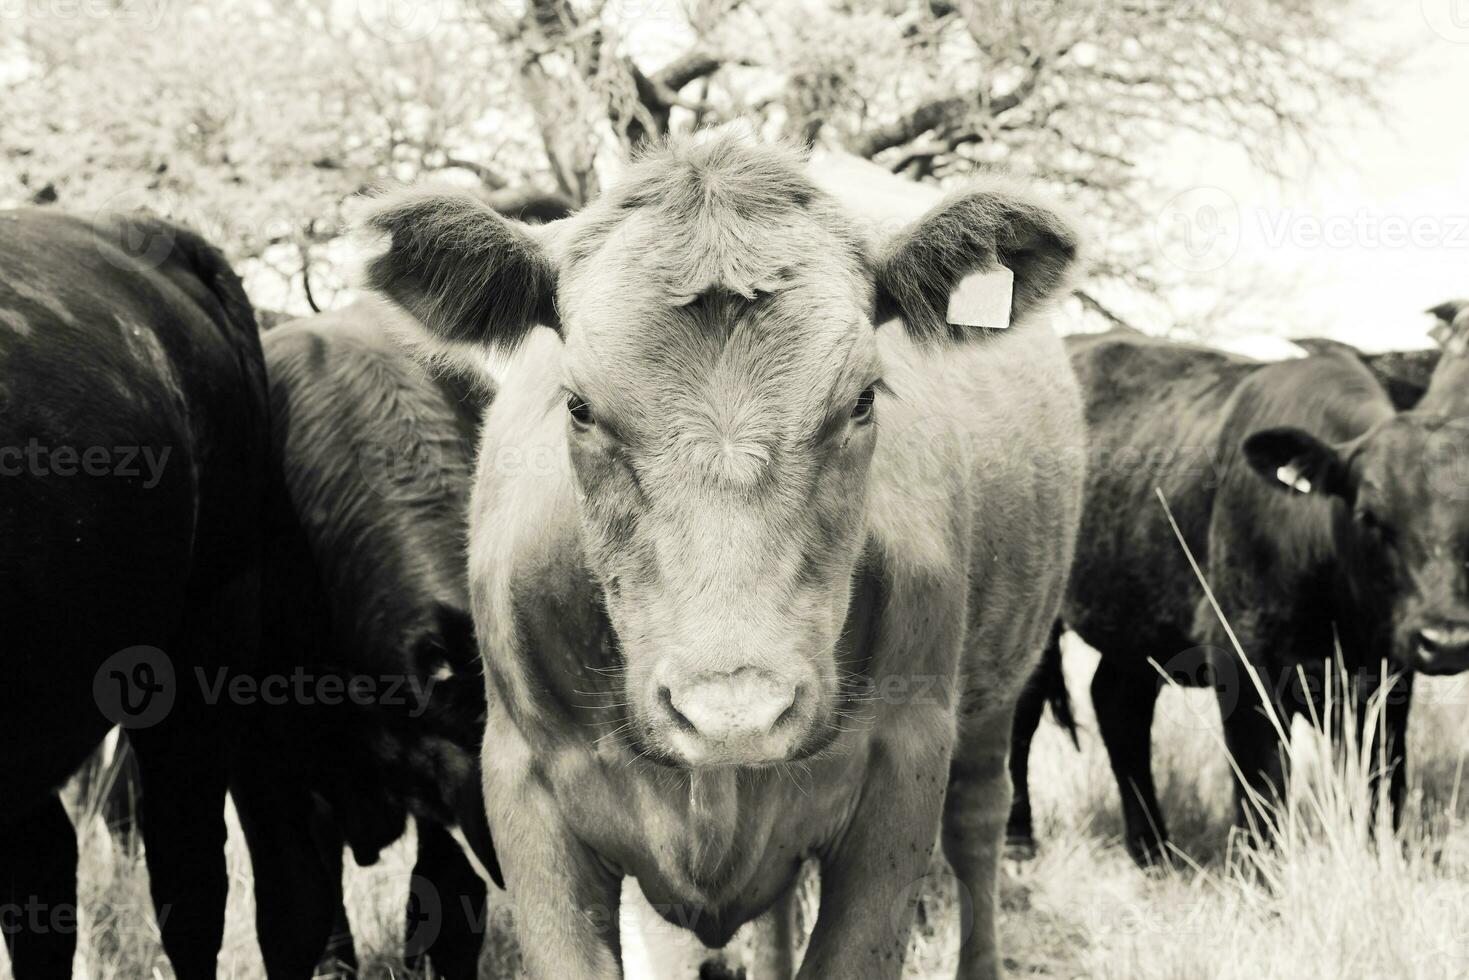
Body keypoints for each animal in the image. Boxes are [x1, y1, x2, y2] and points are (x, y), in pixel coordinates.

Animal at [1016, 332, 1469, 863]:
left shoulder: (1386, 677)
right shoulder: (1243, 664)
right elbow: (1262, 788)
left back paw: (1153, 850)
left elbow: (1383, 783)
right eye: (1368, 516)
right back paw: (1018, 839)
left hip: (1135, 620)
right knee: (1022, 711)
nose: (1447, 640)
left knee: (1118, 705)